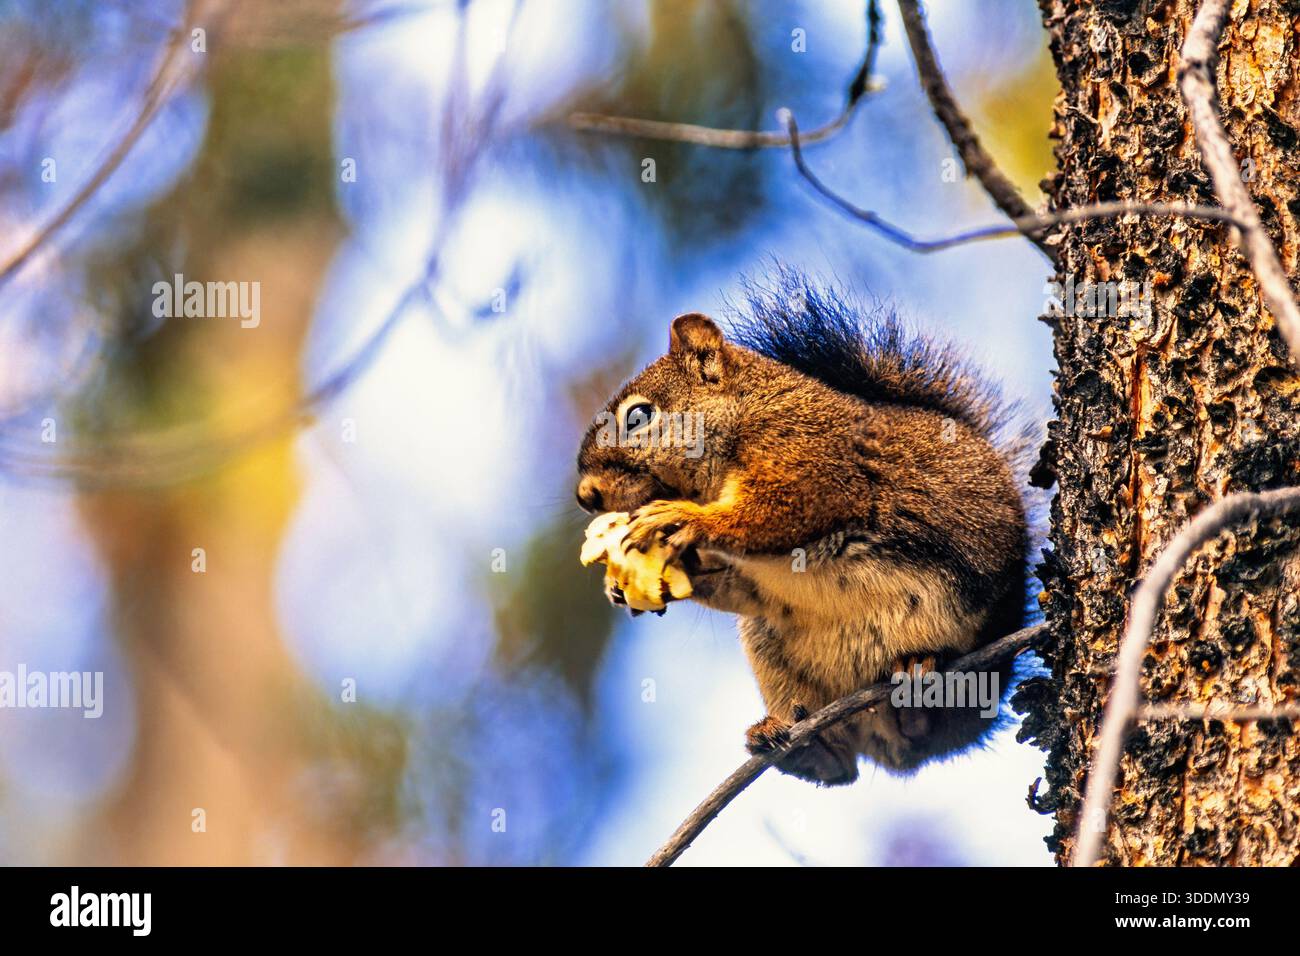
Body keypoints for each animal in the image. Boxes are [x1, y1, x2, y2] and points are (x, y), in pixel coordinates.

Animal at [575, 271, 1031, 783]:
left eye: (638, 416)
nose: (585, 495)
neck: (748, 411)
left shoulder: (812, 460)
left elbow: (779, 512)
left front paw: (682, 518)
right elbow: (737, 583)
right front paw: (628, 586)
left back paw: (918, 679)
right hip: (773, 653)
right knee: (842, 769)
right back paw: (801, 743)